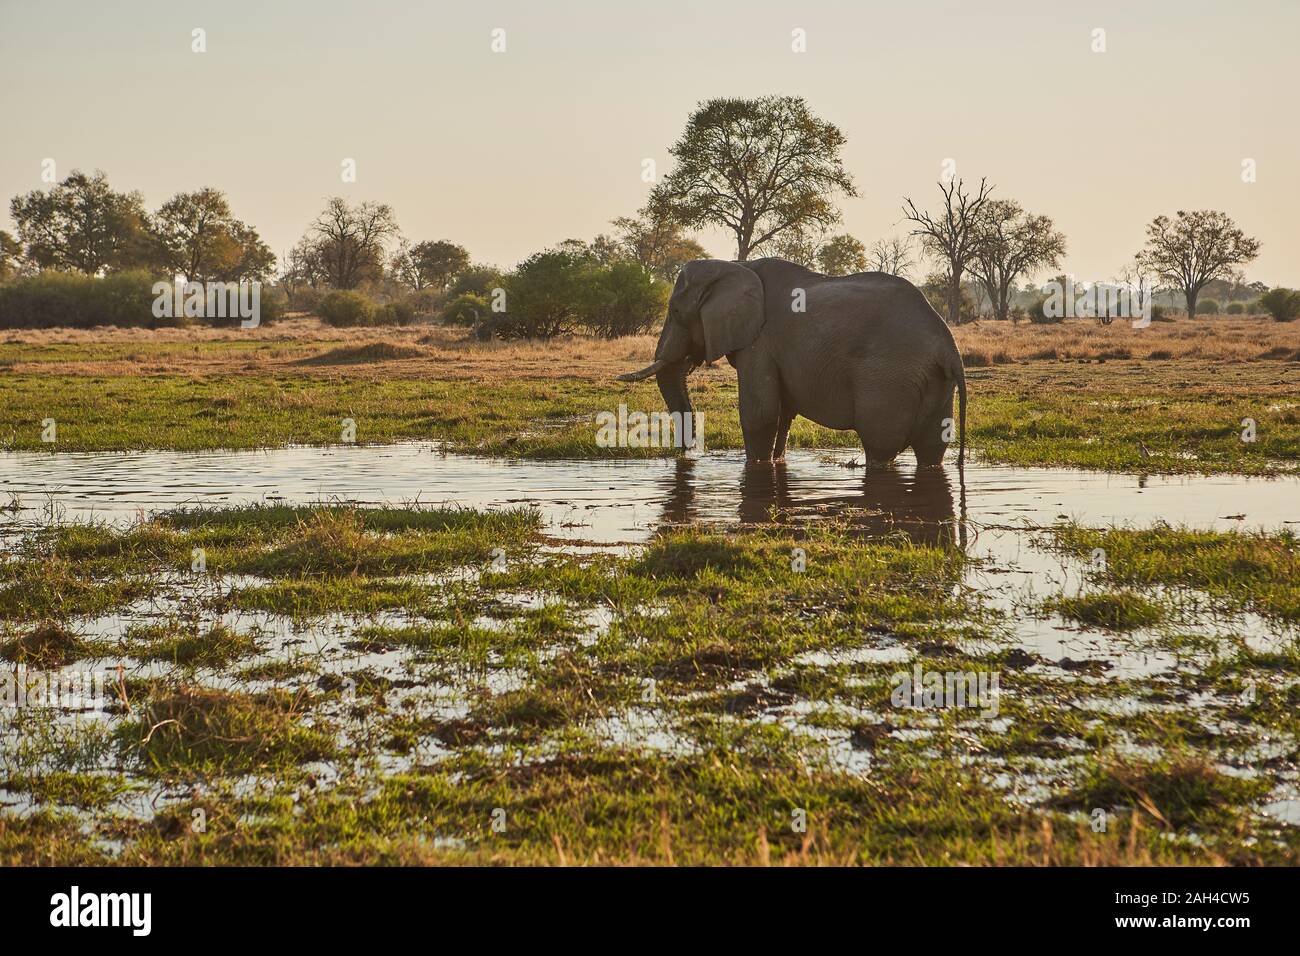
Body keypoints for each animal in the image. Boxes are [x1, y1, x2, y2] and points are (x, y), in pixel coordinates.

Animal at [616, 260, 967, 468]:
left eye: (675, 312)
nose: (686, 456)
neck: (734, 266)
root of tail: (949, 347)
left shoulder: (760, 342)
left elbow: (760, 414)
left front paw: (757, 465)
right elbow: (782, 413)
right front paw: (775, 463)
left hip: (890, 379)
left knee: (880, 445)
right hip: (934, 381)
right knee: (932, 447)